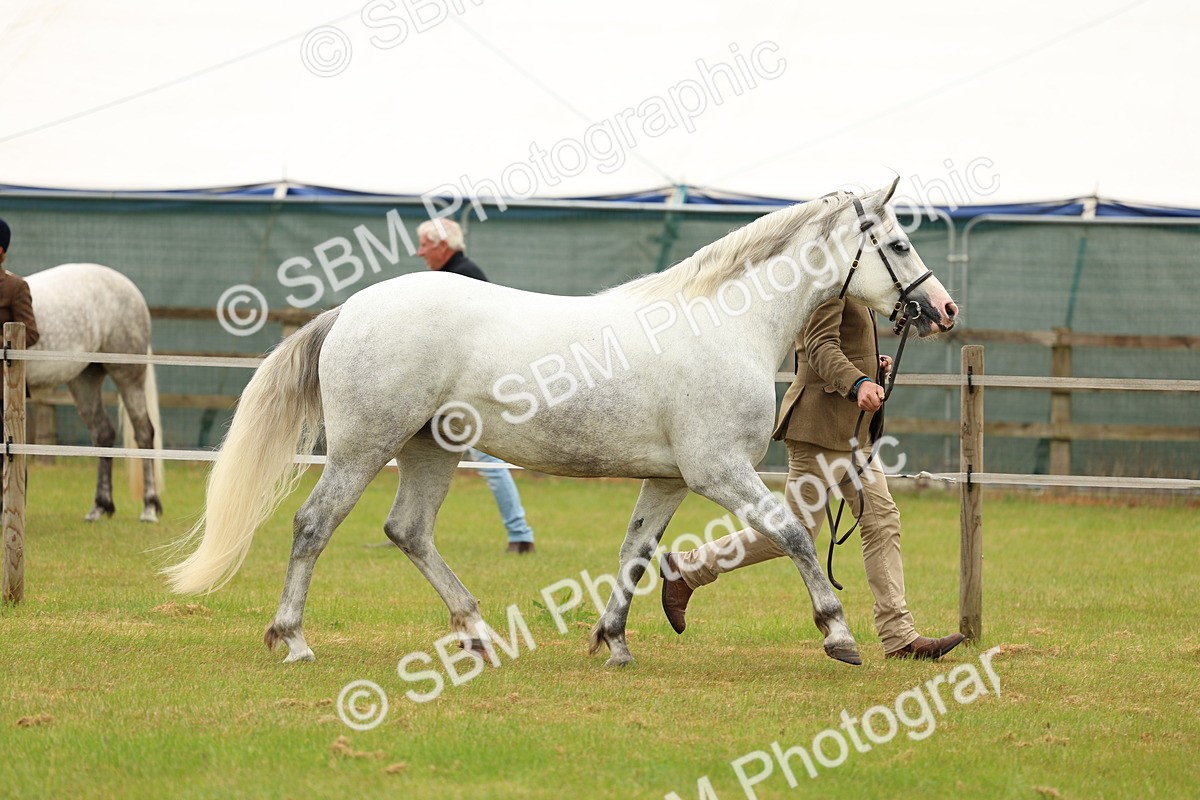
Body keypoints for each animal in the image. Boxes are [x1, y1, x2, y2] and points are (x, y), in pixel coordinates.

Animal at [26, 263, 164, 522]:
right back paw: (100, 506)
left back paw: (149, 508)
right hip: (84, 381)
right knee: (103, 433)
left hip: (128, 377)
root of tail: (131, 289)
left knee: (144, 432)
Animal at [165, 179, 957, 668]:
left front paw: (613, 642)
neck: (725, 324)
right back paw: (294, 640)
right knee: (313, 526)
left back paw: (480, 635)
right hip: (366, 447)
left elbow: (635, 553)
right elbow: (792, 533)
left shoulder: (670, 480)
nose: (943, 309)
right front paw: (838, 632)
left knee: (408, 531)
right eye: (900, 244)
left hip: (430, 449)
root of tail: (353, 309)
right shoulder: (719, 471)